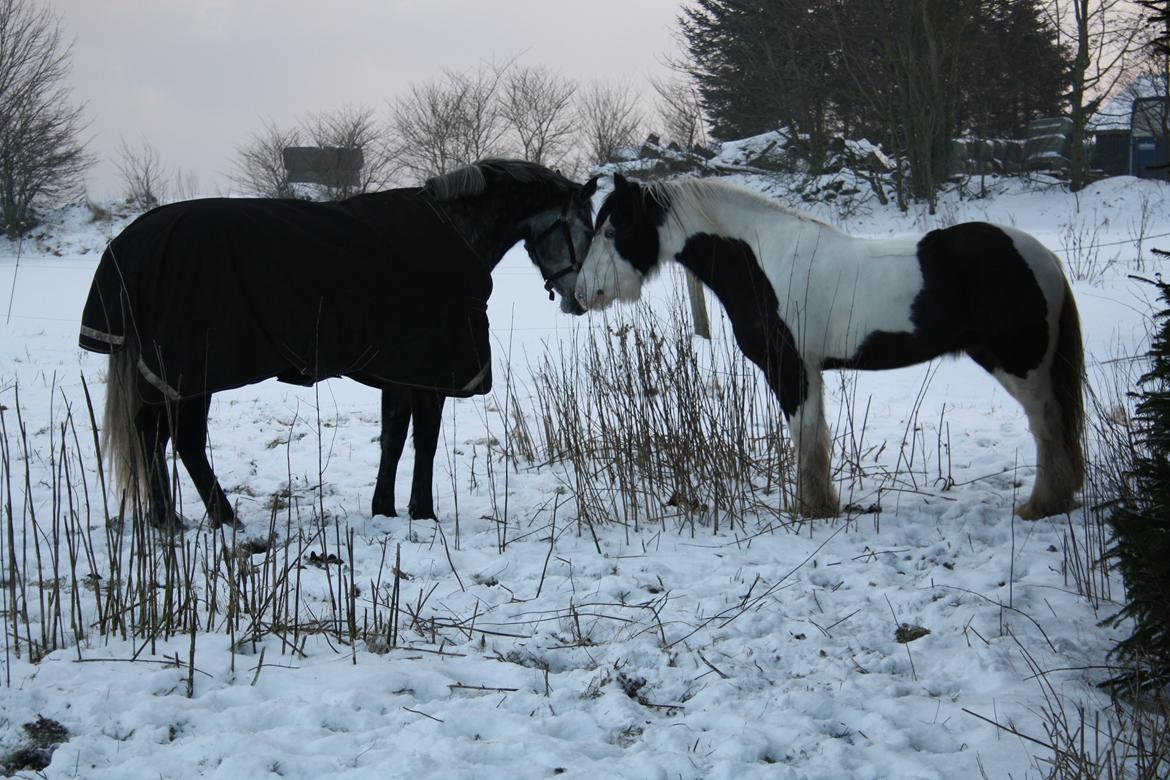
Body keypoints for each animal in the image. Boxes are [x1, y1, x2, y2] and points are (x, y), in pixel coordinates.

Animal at [82, 159, 599, 530]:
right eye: (586, 229)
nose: (580, 299)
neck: (454, 232)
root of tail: (131, 244)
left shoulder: (399, 370)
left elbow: (394, 438)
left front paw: (384, 508)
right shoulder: (430, 369)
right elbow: (426, 441)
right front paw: (423, 511)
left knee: (158, 436)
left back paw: (175, 517)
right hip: (190, 370)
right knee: (173, 438)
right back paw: (205, 518)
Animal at [577, 176, 1085, 519]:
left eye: (612, 230)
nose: (580, 294)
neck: (764, 261)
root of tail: (1043, 257)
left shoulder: (789, 368)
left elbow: (804, 436)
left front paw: (811, 507)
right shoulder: (809, 369)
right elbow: (817, 433)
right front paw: (822, 503)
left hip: (1020, 364)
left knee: (1048, 424)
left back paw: (1043, 504)